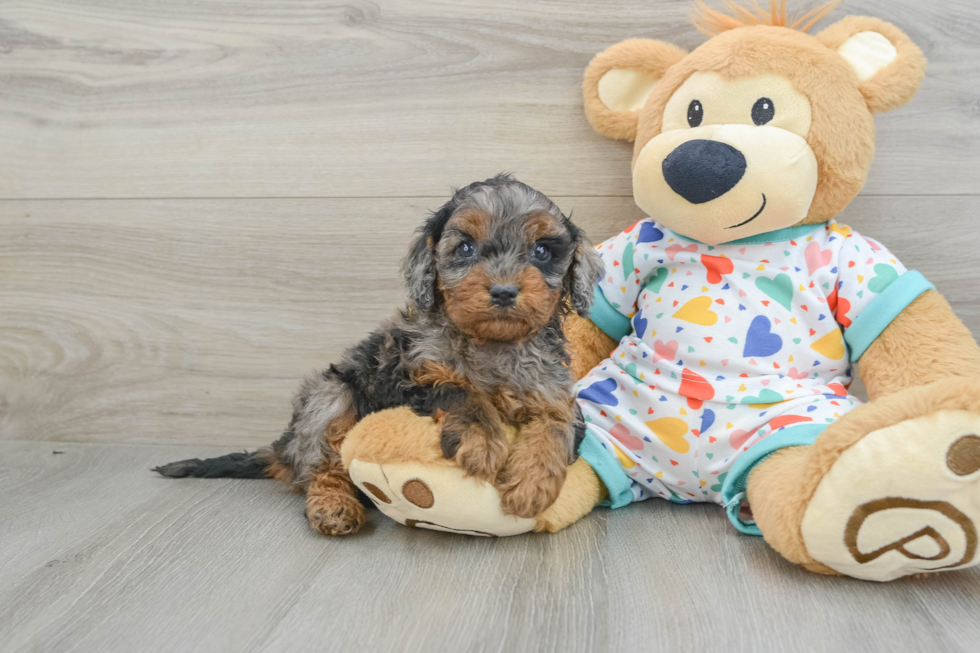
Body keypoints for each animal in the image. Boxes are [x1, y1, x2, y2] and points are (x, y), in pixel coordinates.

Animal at [154, 174, 600, 536]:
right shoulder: (406, 375)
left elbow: (556, 425)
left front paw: (531, 485)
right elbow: (459, 391)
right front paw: (482, 441)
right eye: (466, 247)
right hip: (330, 397)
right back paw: (334, 507)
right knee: (323, 467)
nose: (504, 291)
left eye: (542, 251)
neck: (492, 344)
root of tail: (285, 446)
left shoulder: (552, 389)